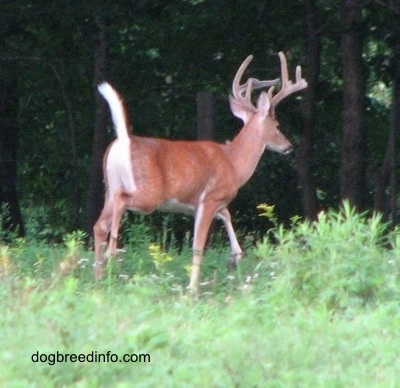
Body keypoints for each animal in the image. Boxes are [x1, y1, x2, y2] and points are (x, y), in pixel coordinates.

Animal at [95, 50, 308, 294]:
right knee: (120, 203)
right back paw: (112, 254)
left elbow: (226, 215)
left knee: (99, 224)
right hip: (148, 193)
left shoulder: (201, 203)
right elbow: (198, 246)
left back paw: (98, 277)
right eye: (277, 125)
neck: (233, 163)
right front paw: (193, 289)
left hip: (108, 187)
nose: (288, 146)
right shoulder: (212, 197)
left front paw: (235, 256)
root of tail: (121, 142)